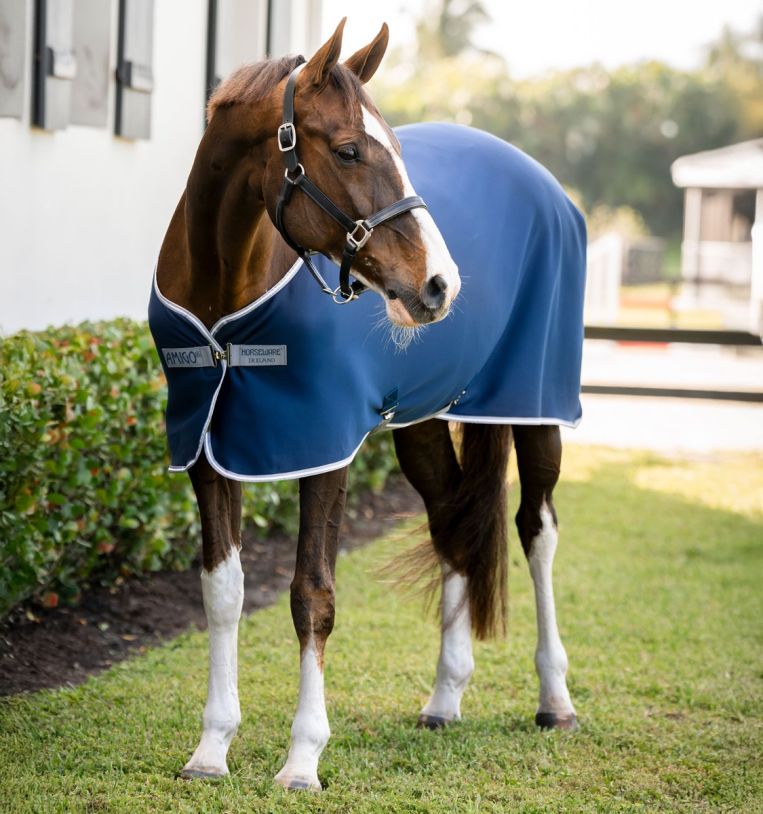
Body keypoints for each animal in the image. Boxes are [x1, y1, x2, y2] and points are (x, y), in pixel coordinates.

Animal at [151, 19, 584, 791]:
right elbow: (222, 591)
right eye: (349, 148)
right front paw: (211, 748)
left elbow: (311, 595)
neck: (224, 294)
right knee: (453, 524)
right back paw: (444, 698)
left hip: (537, 410)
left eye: (397, 150)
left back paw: (554, 699)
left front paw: (302, 758)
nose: (440, 284)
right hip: (422, 424)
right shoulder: (209, 447)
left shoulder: (321, 442)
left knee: (537, 530)